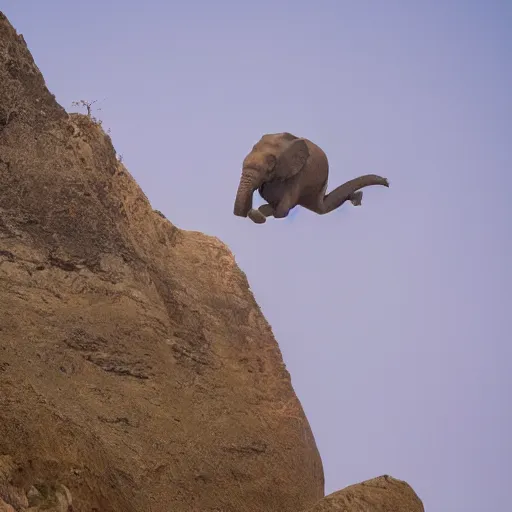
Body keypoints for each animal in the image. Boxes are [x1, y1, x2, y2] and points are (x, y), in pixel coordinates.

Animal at [234, 131, 390, 223]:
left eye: (270, 168)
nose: (387, 183)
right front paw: (258, 212)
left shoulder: (301, 174)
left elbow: (283, 210)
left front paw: (259, 214)